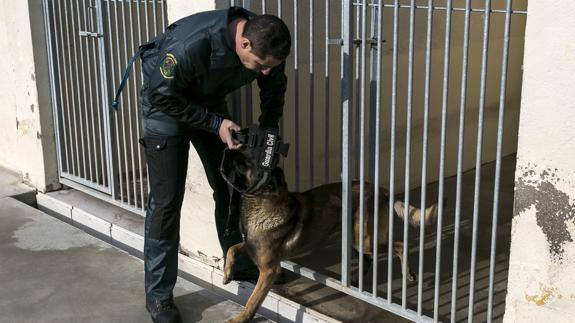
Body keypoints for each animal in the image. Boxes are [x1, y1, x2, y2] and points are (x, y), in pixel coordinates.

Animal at [220, 140, 436, 323]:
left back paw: (408, 273)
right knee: (368, 258)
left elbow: (253, 299)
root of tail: (381, 189)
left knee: (399, 245)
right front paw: (227, 273)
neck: (264, 201)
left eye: (247, 161)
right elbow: (232, 248)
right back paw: (354, 281)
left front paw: (241, 318)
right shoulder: (250, 245)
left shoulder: (268, 270)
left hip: (364, 240)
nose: (228, 148)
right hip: (355, 239)